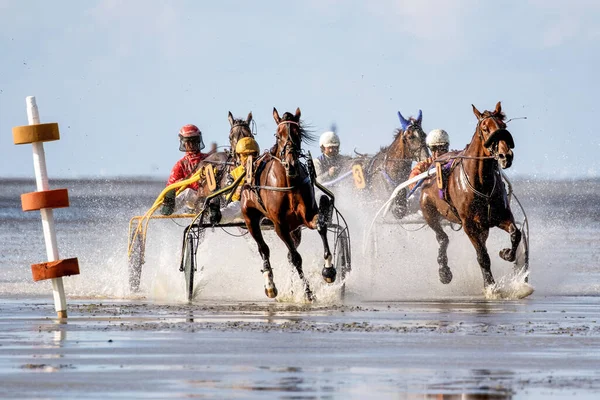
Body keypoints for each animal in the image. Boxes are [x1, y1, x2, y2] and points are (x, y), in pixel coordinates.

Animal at [240, 106, 336, 300]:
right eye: (278, 135)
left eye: (298, 133)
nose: (291, 164)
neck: (289, 183)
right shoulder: (280, 226)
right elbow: (296, 257)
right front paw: (308, 292)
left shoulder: (307, 216)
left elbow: (321, 225)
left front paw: (329, 270)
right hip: (250, 218)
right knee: (264, 249)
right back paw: (270, 285)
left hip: (296, 229)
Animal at [418, 101, 520, 290]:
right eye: (485, 128)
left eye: (504, 126)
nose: (505, 156)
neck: (482, 183)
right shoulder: (469, 224)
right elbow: (482, 256)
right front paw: (491, 286)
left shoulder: (500, 215)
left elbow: (516, 233)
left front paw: (506, 253)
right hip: (428, 211)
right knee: (442, 238)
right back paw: (444, 272)